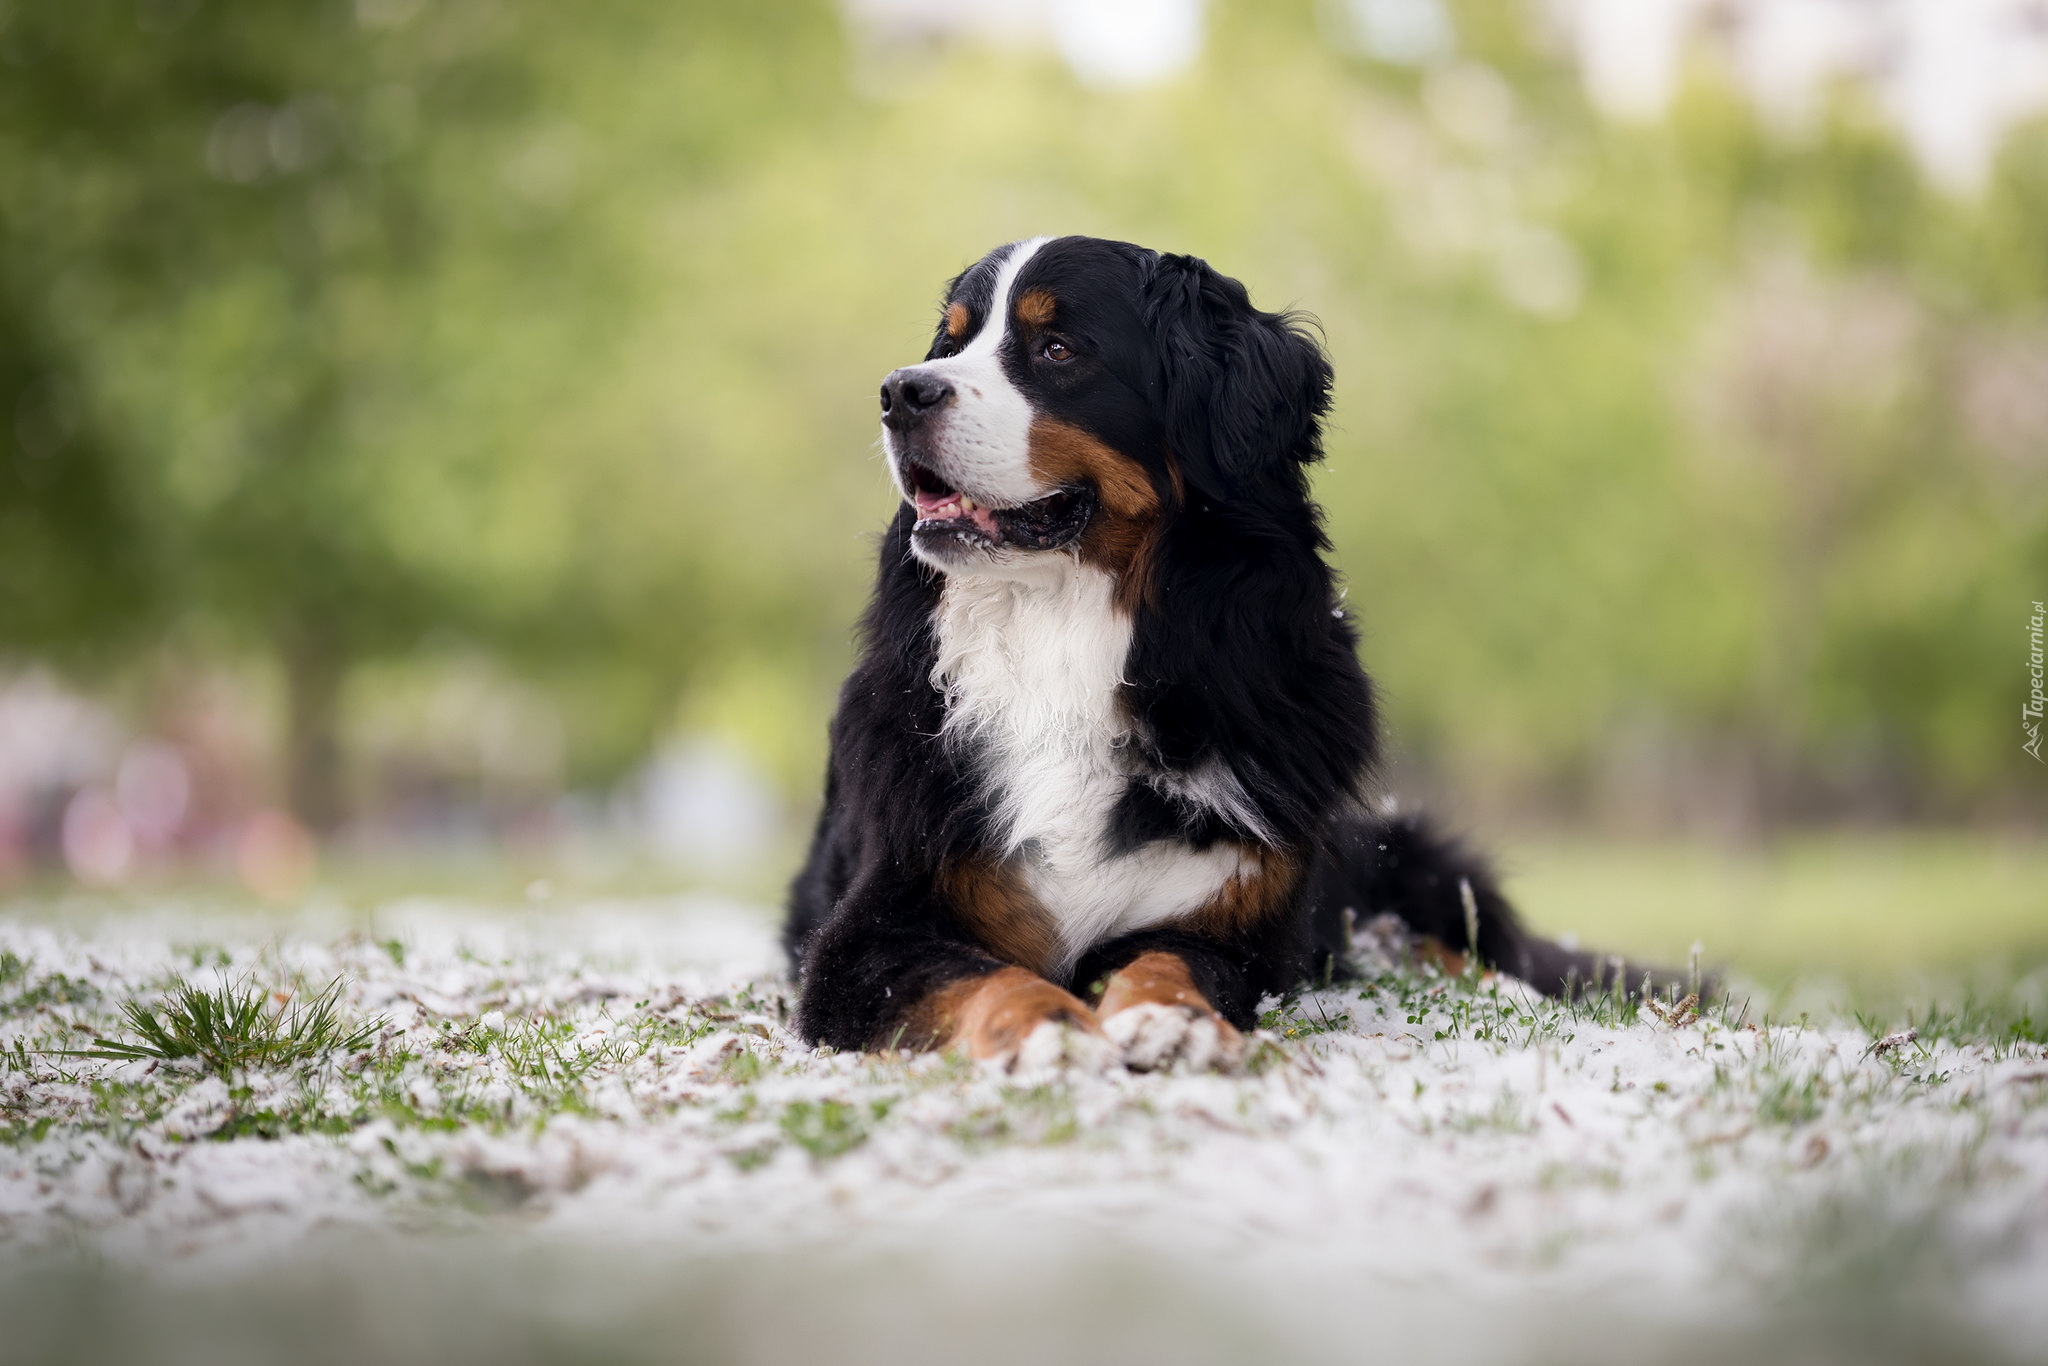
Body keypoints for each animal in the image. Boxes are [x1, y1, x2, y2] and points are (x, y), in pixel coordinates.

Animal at [778, 232, 1646, 1064]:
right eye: (949, 344)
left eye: (1057, 348)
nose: (901, 391)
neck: (1064, 639)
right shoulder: (877, 926)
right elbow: (982, 979)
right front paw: (1052, 1030)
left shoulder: (1230, 924)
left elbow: (1170, 960)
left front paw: (1171, 1020)